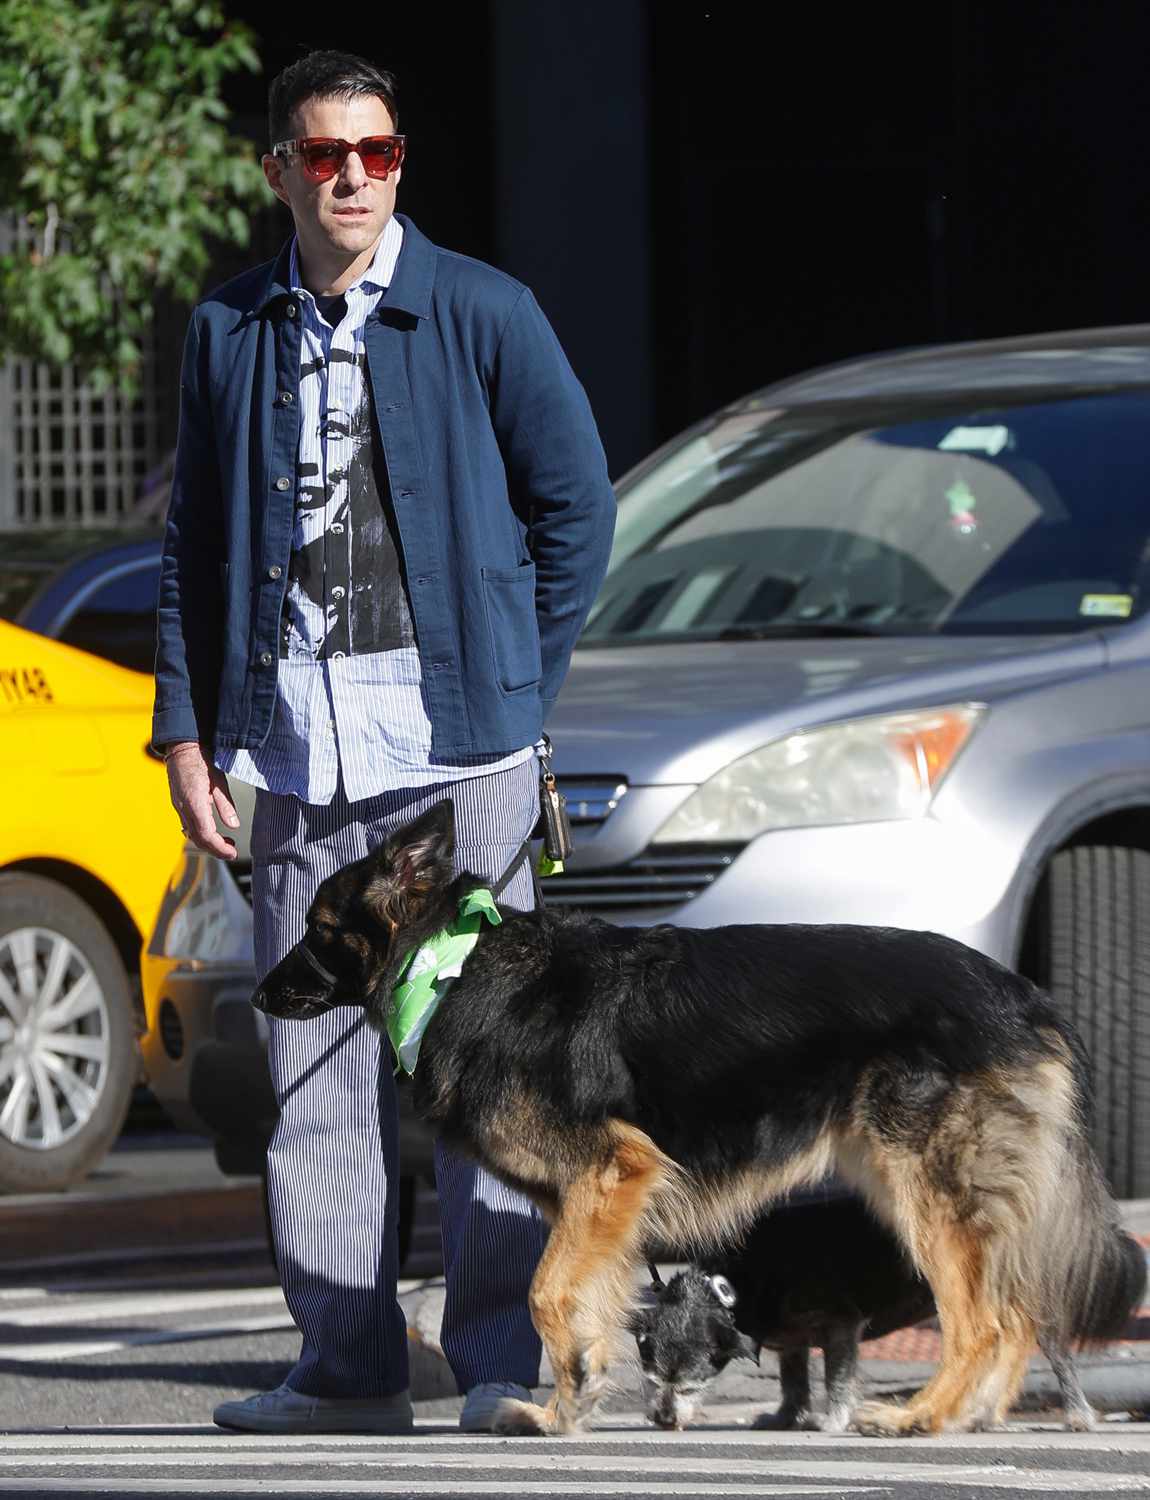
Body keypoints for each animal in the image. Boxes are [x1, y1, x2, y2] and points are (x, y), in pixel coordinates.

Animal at [251, 804, 1139, 1434]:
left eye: (318, 931)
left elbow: (545, 1294)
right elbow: (586, 1303)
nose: (259, 996)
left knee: (985, 1319)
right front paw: (568, 1408)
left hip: (924, 1192)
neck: (450, 964)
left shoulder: (611, 1172)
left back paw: (925, 1416)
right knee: (1018, 1312)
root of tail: (1025, 996)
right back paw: (974, 1415)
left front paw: (567, 1398)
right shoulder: (600, 1205)